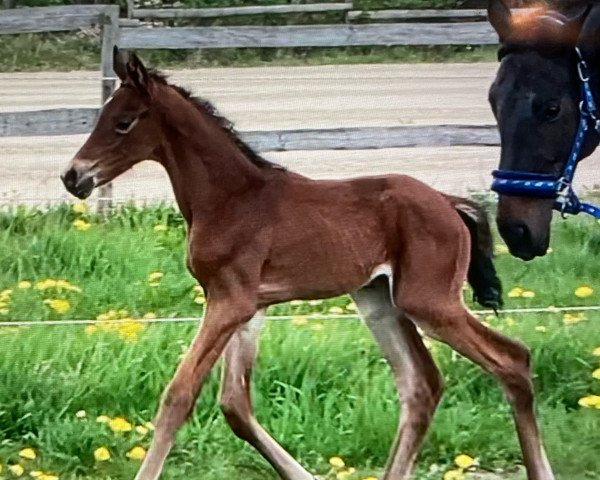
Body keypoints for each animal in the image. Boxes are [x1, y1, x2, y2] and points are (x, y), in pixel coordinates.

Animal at [59, 48, 548, 480]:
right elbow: (235, 405)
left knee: (512, 359)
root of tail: (449, 202)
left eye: (122, 122)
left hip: (429, 301)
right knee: (421, 384)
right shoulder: (246, 304)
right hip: (378, 299)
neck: (230, 198)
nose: (72, 176)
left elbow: (179, 395)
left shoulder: (229, 302)